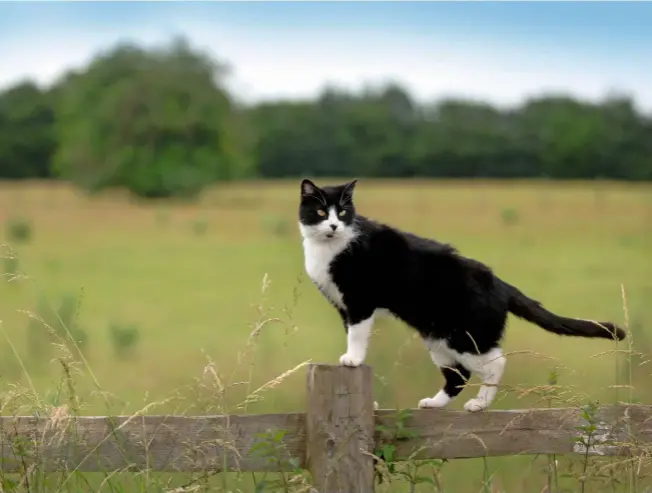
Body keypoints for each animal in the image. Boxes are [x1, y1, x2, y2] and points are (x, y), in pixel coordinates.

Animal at [300, 177, 628, 412]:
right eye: (320, 211)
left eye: (343, 211)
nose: (333, 225)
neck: (328, 248)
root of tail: (500, 284)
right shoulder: (343, 306)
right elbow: (350, 331)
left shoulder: (359, 302)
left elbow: (356, 334)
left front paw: (352, 360)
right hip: (438, 336)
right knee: (458, 375)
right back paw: (434, 403)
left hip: (464, 334)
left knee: (495, 362)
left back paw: (479, 404)